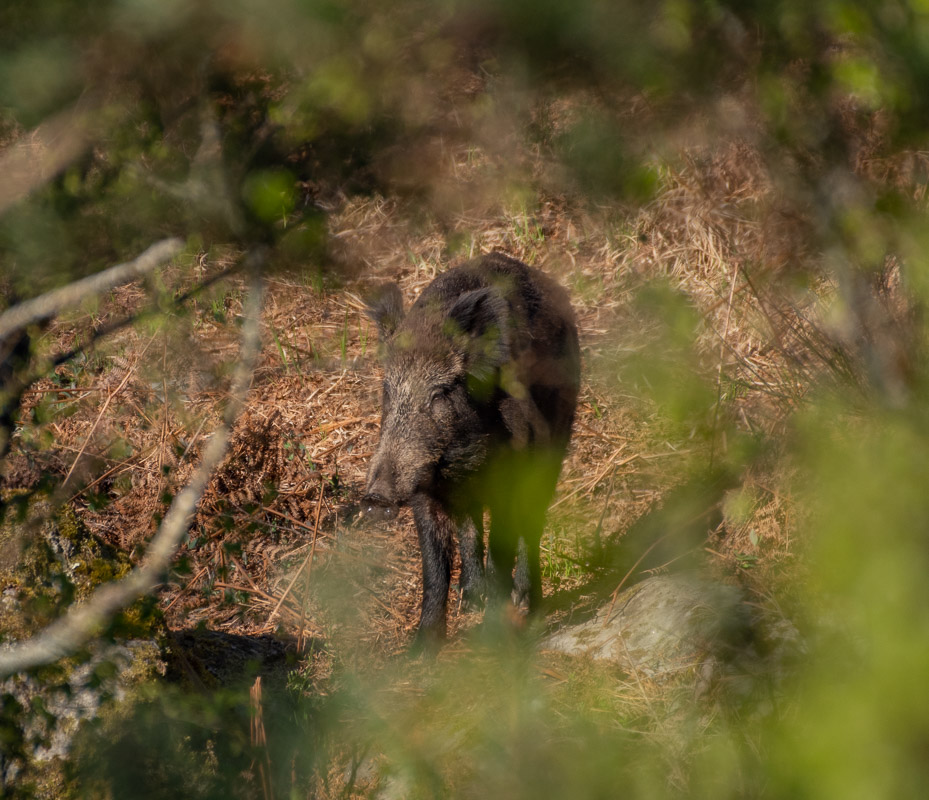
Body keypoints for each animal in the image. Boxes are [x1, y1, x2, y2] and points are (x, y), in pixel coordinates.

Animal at [362, 252, 580, 643]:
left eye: (440, 392)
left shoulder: (513, 472)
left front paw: (495, 632)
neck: (458, 462)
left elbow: (503, 546)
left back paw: (525, 605)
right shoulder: (424, 490)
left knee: (532, 522)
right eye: (388, 390)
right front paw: (421, 648)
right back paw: (471, 599)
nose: (375, 496)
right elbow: (434, 566)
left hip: (557, 438)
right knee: (470, 524)